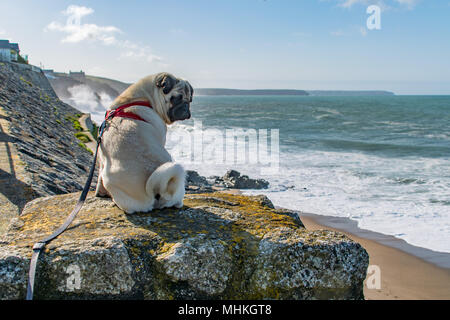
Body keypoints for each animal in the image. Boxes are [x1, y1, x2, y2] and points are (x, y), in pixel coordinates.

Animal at [95, 71, 193, 214]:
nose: (186, 106)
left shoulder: (101, 158)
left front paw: (99, 193)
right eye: (176, 98)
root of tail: (156, 191)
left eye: (189, 100)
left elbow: (98, 177)